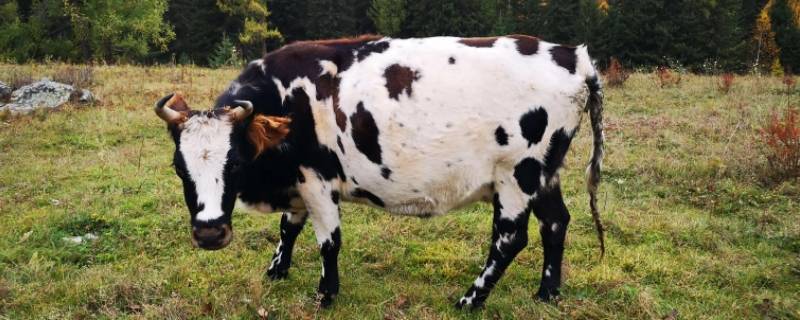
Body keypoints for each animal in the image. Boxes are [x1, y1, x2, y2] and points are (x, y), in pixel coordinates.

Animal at [155, 34, 608, 308]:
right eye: (179, 166)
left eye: (235, 161)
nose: (210, 233)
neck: (287, 101)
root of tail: (574, 56)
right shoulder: (298, 180)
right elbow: (289, 227)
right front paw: (277, 270)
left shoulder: (317, 179)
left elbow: (328, 242)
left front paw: (326, 295)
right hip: (546, 172)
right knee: (556, 223)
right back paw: (547, 292)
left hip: (517, 174)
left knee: (510, 239)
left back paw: (471, 299)